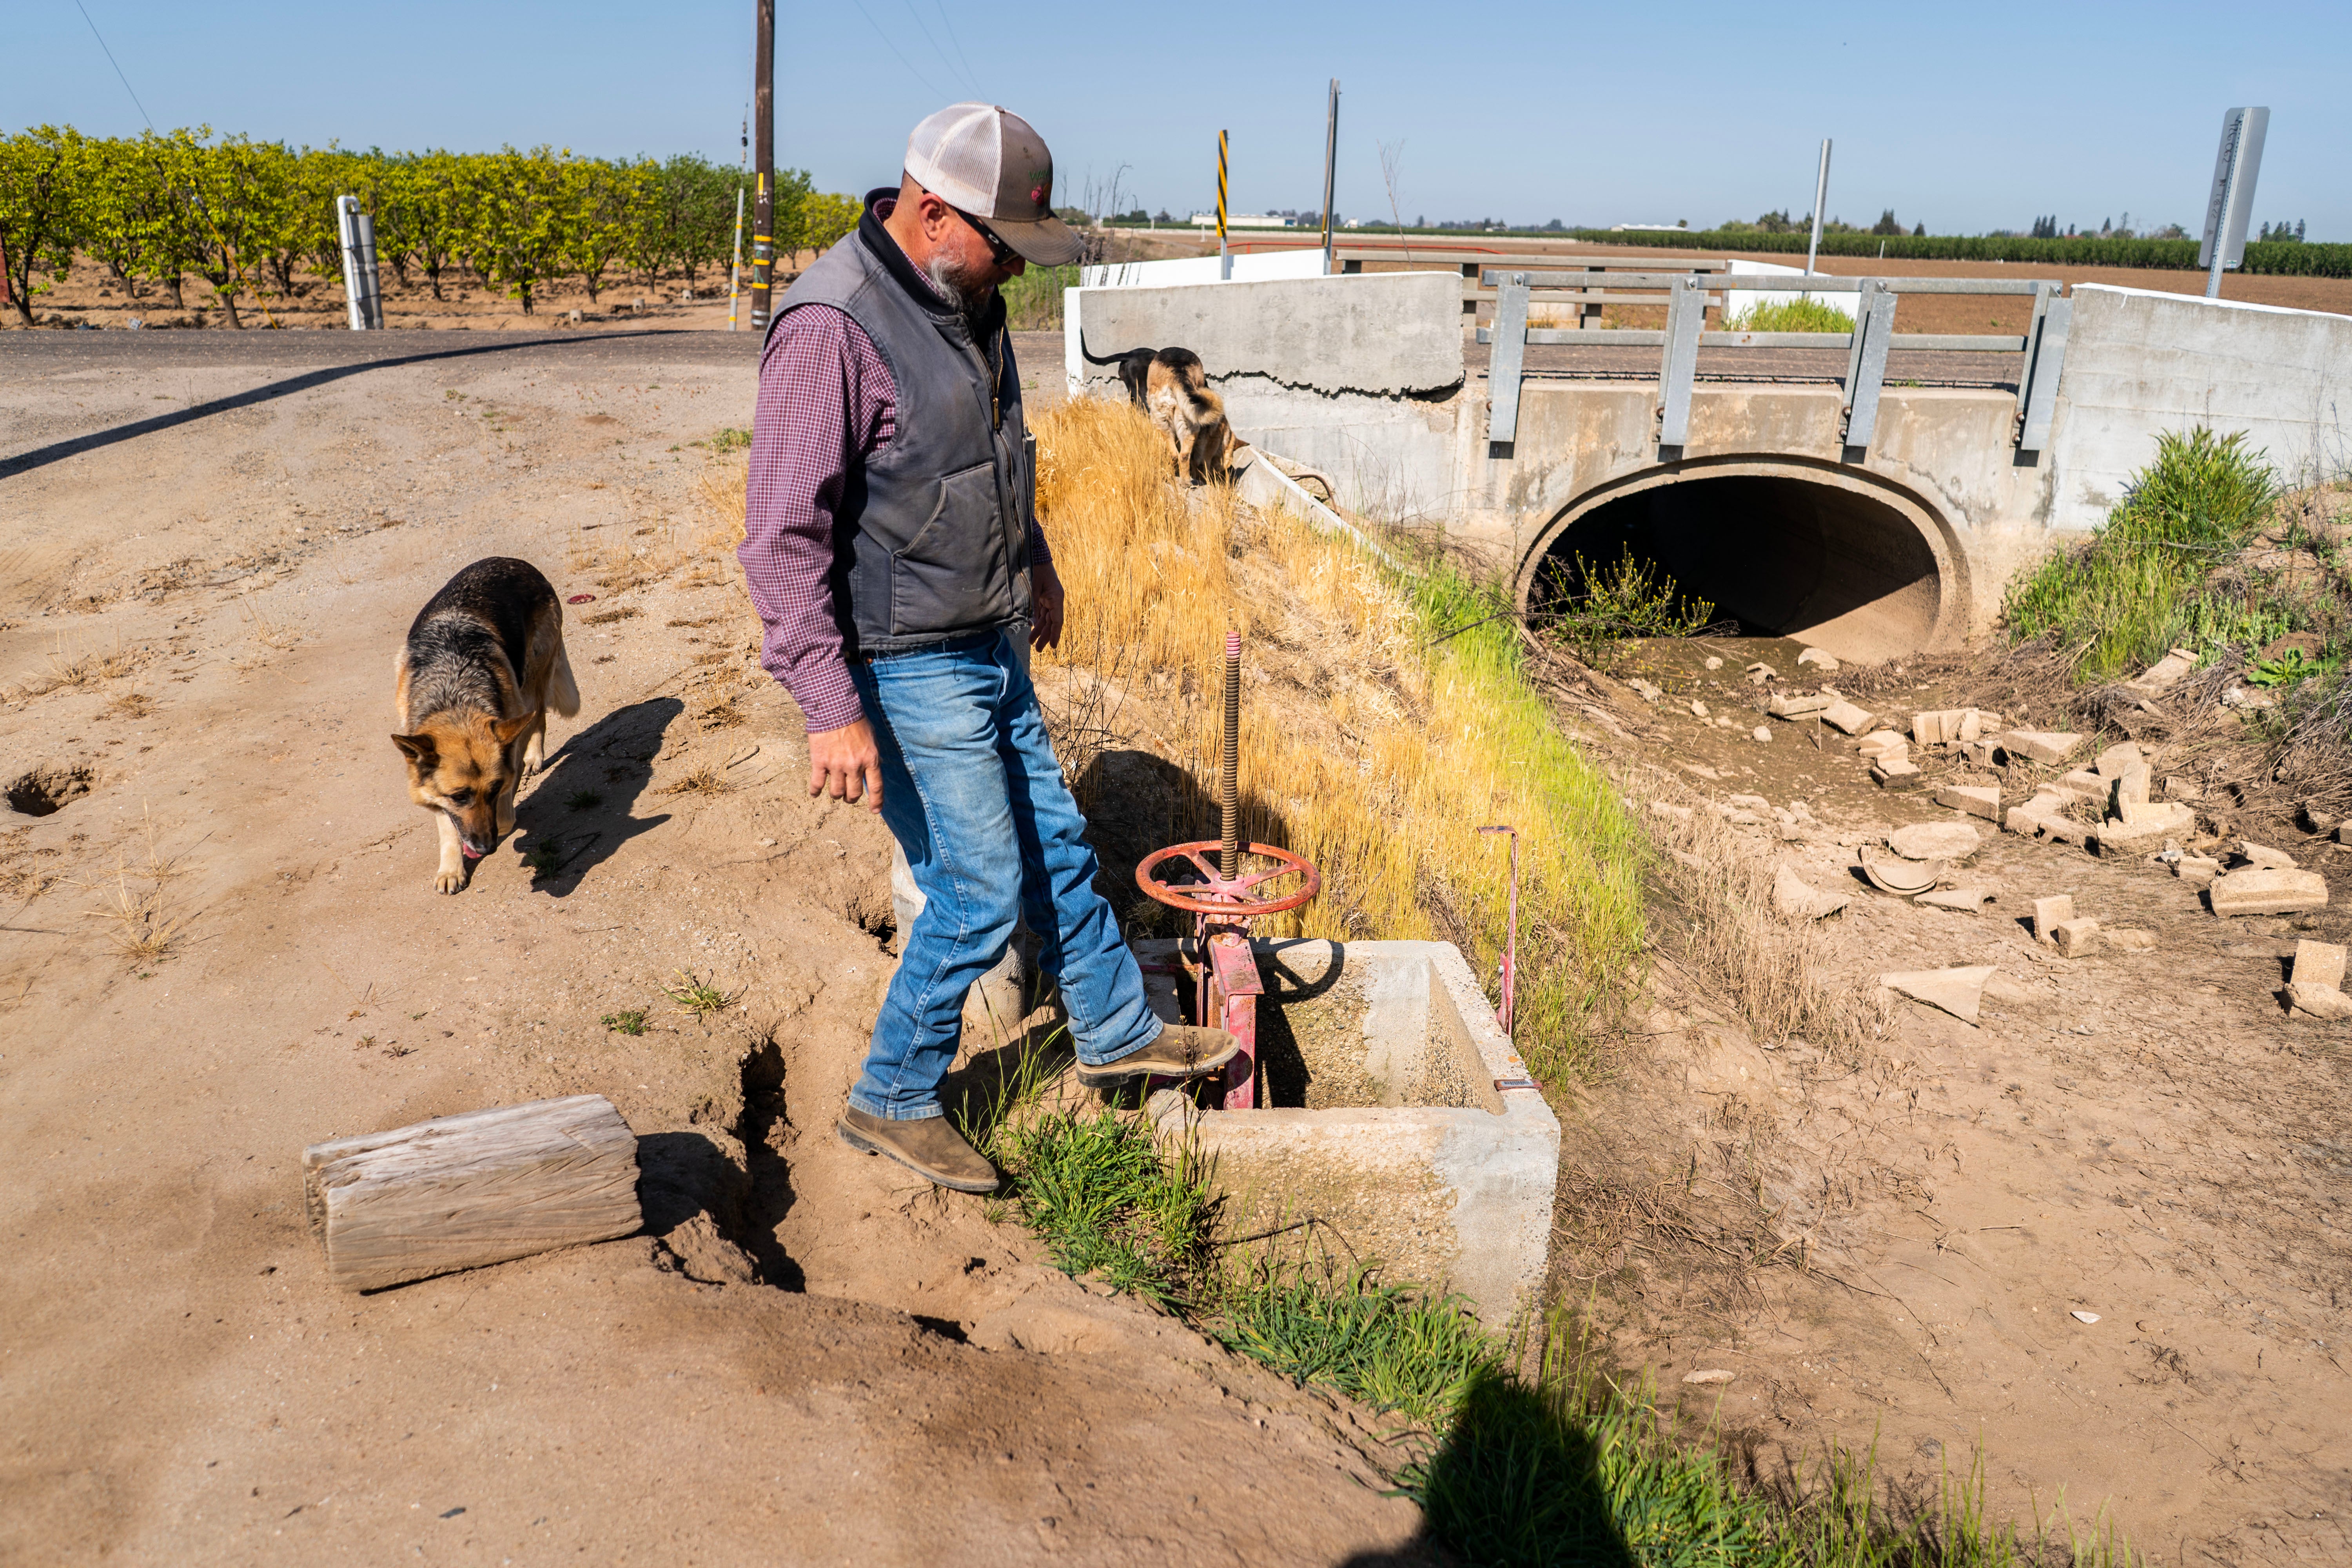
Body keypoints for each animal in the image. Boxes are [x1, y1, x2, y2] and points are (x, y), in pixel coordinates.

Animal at [390, 557, 579, 888]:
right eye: (459, 797)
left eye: (493, 790)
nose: (486, 848)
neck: (454, 695)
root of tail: (516, 563)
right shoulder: (434, 787)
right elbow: (447, 825)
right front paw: (451, 869)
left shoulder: (509, 734)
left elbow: (505, 808)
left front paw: (507, 817)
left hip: (531, 685)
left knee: (539, 716)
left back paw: (534, 757)